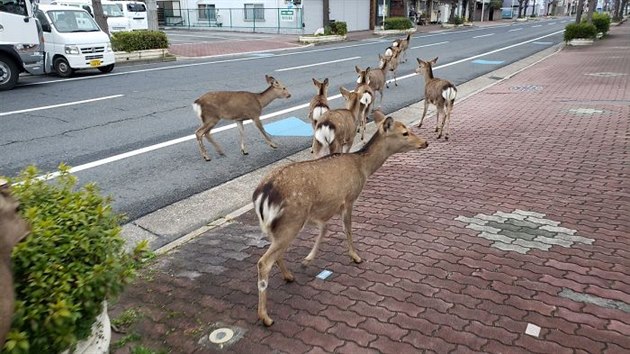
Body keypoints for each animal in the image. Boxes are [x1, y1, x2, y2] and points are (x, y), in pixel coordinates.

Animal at [254, 108, 432, 326]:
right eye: (405, 132)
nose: (425, 142)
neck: (363, 167)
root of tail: (263, 194)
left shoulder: (325, 207)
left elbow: (324, 230)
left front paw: (307, 260)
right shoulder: (349, 198)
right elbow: (348, 228)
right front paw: (355, 256)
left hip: (278, 226)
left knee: (275, 254)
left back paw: (289, 276)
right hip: (291, 221)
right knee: (264, 262)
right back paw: (265, 317)